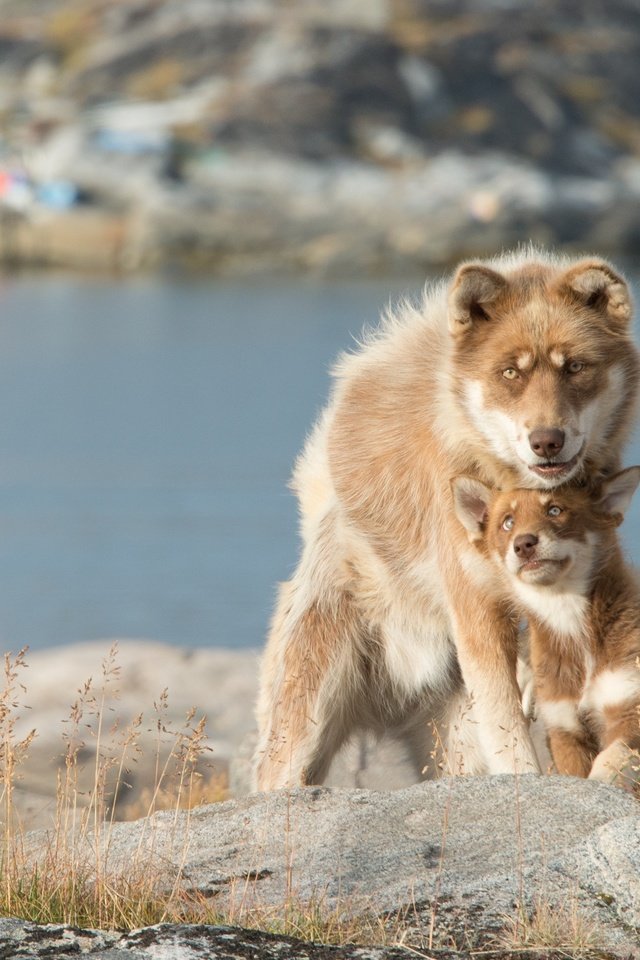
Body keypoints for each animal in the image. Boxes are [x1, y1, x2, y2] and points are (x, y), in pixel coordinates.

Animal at [252, 248, 636, 788]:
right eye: (510, 373)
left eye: (576, 367)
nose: (546, 441)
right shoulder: (475, 608)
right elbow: (510, 735)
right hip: (302, 732)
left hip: (453, 748)